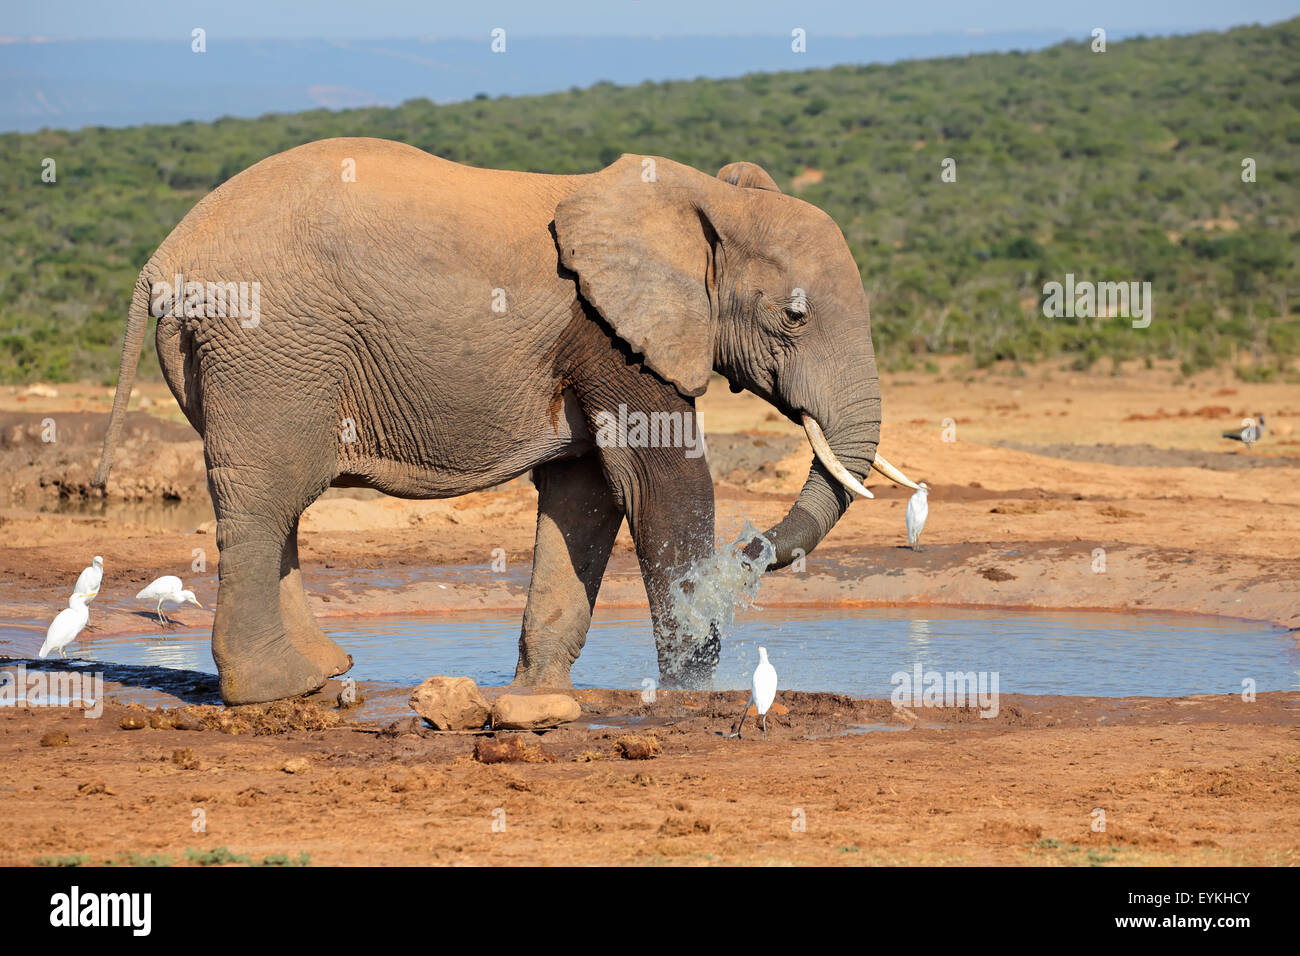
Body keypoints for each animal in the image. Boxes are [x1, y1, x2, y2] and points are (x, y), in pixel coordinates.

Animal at [91, 138, 920, 707]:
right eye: (794, 316)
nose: (751, 546)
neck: (702, 199)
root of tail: (163, 255)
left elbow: (587, 493)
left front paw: (536, 696)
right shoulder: (609, 330)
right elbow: (659, 483)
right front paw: (691, 694)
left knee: (279, 503)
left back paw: (325, 671)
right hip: (268, 345)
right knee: (267, 496)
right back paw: (276, 688)